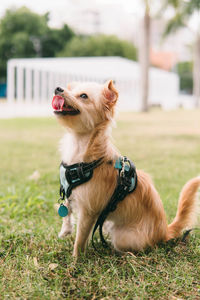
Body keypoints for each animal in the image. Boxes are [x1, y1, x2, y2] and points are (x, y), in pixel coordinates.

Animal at [52, 81, 200, 256]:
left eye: (83, 96)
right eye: (71, 89)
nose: (58, 89)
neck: (79, 145)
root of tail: (164, 232)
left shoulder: (88, 212)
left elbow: (80, 240)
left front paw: (76, 259)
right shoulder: (70, 194)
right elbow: (66, 209)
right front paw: (65, 230)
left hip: (122, 236)